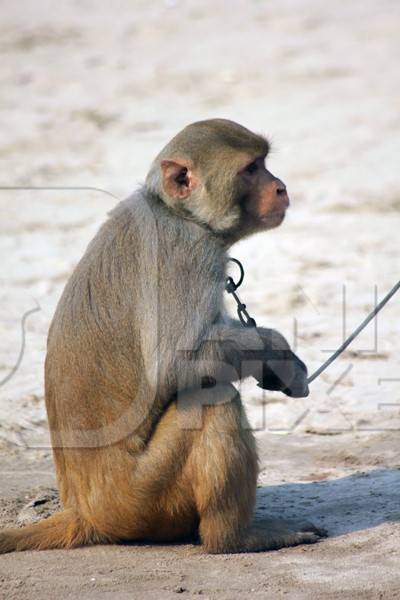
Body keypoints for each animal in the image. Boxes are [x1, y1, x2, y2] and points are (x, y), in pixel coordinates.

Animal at [0, 119, 324, 556]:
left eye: (264, 163)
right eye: (252, 169)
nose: (281, 187)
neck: (175, 212)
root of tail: (86, 513)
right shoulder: (187, 252)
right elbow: (174, 363)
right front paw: (278, 352)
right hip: (141, 498)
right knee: (212, 398)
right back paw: (234, 538)